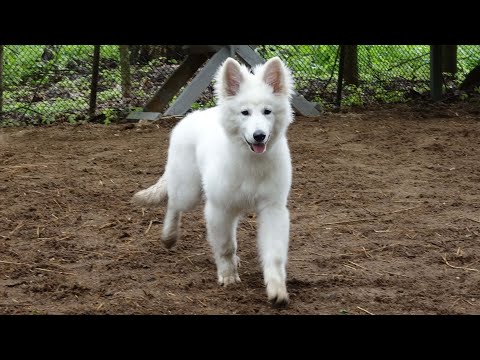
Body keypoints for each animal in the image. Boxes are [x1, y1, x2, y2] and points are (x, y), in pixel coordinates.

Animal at [133, 56, 294, 306]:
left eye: (267, 111)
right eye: (245, 113)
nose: (259, 136)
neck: (250, 161)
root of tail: (191, 116)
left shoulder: (273, 209)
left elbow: (274, 255)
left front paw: (277, 289)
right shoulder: (219, 208)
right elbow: (225, 246)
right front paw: (227, 276)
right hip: (188, 190)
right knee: (173, 204)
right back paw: (169, 236)